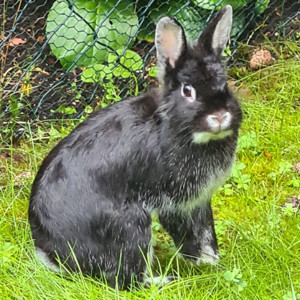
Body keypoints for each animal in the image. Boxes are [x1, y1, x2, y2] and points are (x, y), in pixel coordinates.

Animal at [29, 4, 243, 290]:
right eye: (187, 91)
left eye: (225, 84)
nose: (219, 117)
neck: (173, 126)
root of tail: (52, 254)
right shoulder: (173, 204)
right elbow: (187, 235)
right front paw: (201, 263)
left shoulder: (199, 202)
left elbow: (207, 231)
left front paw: (213, 261)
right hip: (131, 225)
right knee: (125, 279)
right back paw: (165, 280)